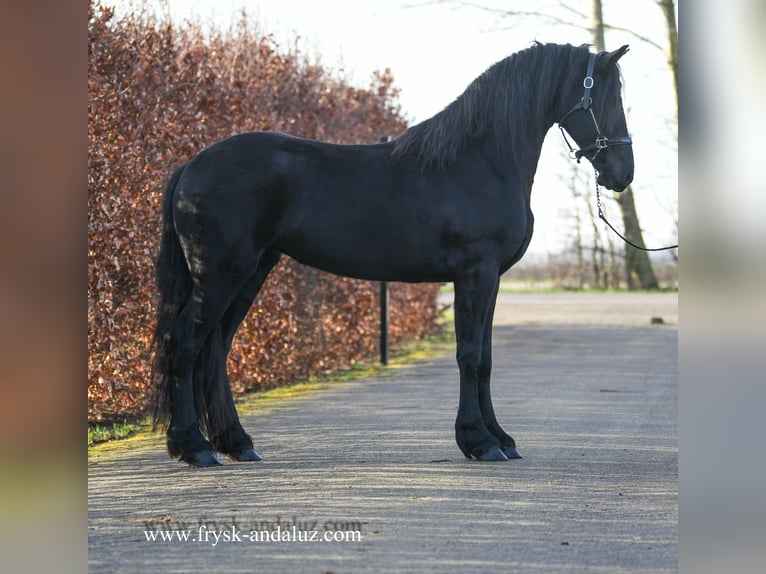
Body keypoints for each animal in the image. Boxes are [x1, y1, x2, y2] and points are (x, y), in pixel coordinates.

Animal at [152, 44, 636, 468]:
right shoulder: (476, 274)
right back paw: (195, 447)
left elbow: (486, 358)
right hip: (220, 275)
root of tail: (191, 167)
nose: (622, 173)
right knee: (186, 343)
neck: (482, 161)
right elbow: (470, 355)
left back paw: (236, 443)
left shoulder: (492, 278)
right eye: (604, 96)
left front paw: (500, 438)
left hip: (251, 272)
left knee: (217, 348)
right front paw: (479, 442)